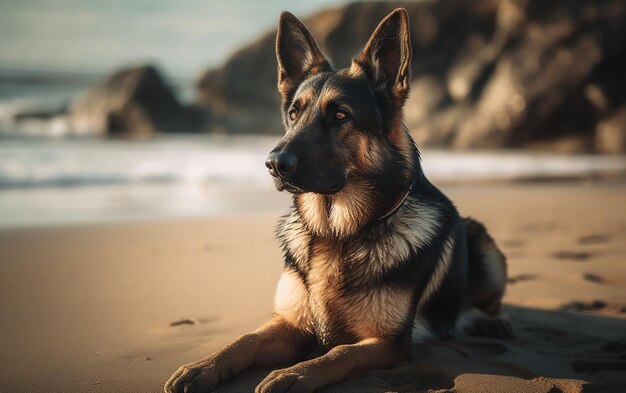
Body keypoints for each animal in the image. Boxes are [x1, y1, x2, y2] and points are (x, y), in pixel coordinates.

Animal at [166, 9, 508, 392]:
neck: (336, 232)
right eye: (294, 113)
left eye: (340, 115)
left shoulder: (387, 342)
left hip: (486, 247)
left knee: (486, 304)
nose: (274, 164)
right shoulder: (290, 324)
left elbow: (338, 354)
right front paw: (205, 366)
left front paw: (295, 374)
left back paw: (487, 320)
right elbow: (245, 340)